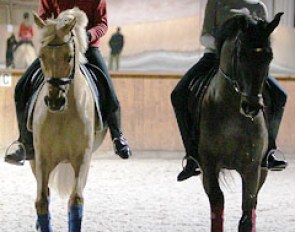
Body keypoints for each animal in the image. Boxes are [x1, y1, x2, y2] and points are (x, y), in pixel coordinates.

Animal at [31, 8, 107, 231]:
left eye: (69, 57)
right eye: (41, 56)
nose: (54, 101)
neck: (62, 115)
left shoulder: (82, 158)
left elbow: (76, 200)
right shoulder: (42, 158)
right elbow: (41, 200)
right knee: (45, 193)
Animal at [193, 13, 284, 232]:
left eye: (269, 57)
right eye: (241, 55)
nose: (251, 106)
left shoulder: (252, 168)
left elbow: (247, 213)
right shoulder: (209, 165)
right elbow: (217, 204)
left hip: (263, 170)